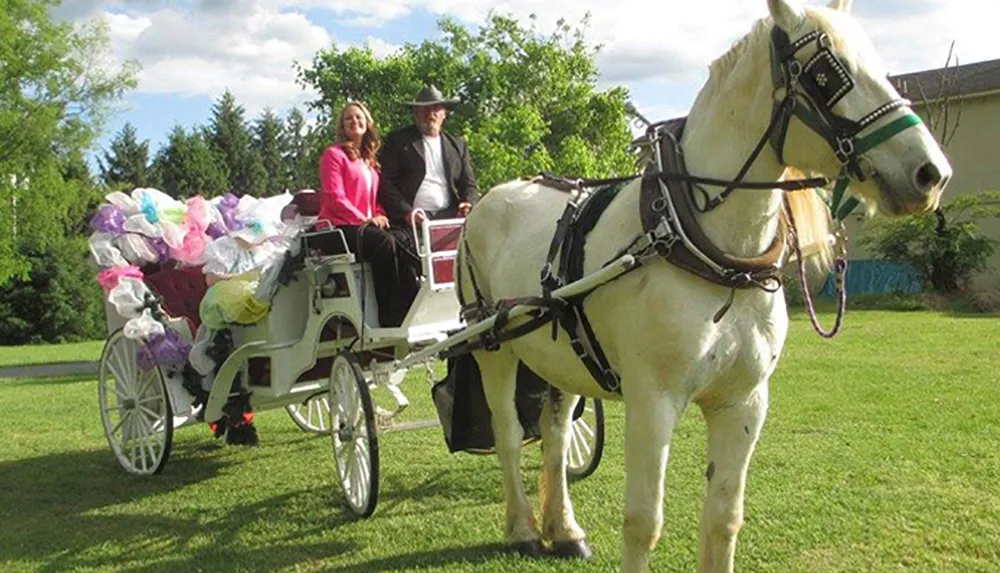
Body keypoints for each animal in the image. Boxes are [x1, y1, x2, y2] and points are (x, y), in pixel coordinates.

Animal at [458, 1, 948, 572]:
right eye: (829, 73)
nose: (931, 174)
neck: (704, 248)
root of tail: (489, 200)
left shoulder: (745, 403)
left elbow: (723, 519)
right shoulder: (652, 402)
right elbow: (643, 523)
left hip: (560, 351)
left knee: (555, 435)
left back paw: (564, 528)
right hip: (491, 345)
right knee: (509, 433)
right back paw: (522, 529)